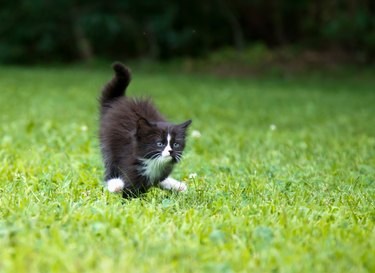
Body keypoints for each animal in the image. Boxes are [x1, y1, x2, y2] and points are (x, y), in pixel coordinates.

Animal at [99, 62, 192, 197]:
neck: (153, 162)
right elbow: (132, 187)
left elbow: (159, 179)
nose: (170, 151)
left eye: (175, 144)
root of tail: (118, 101)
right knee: (110, 166)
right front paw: (129, 196)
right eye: (159, 143)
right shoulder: (129, 162)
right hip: (108, 143)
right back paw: (115, 184)